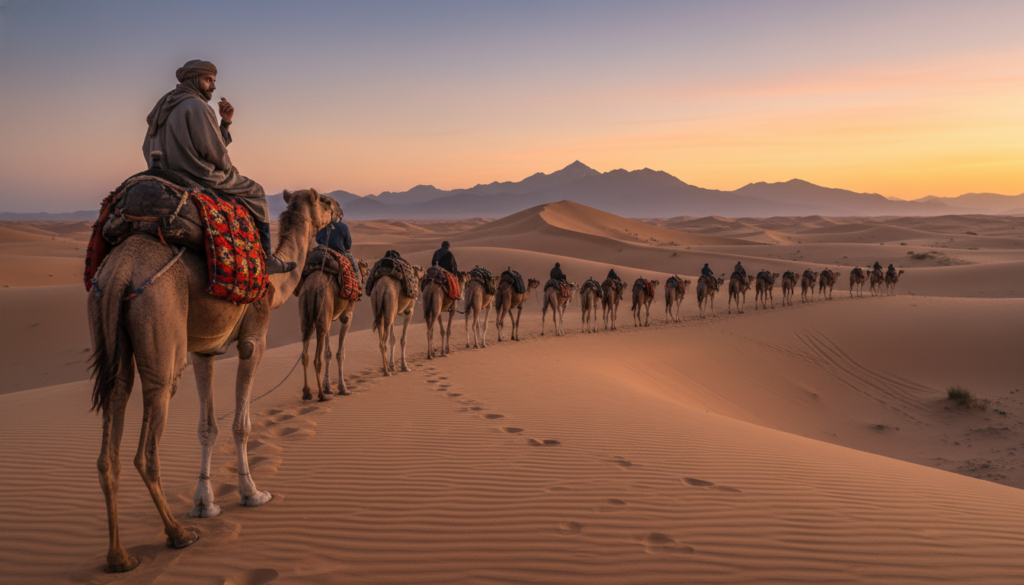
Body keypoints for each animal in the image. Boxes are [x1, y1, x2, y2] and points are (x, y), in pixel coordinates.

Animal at [88, 187, 337, 573]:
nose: (338, 208)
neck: (276, 283)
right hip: (161, 336)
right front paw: (252, 493)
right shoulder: (254, 340)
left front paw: (205, 502)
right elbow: (240, 424)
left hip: (107, 326)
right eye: (323, 200)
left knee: (110, 438)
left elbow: (207, 427)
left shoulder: (203, 350)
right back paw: (178, 534)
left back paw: (120, 558)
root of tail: (120, 270)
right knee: (147, 444)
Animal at [298, 254, 369, 401]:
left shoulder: (329, 318)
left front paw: (328, 386)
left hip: (307, 315)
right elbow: (340, 353)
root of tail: (313, 286)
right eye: (365, 269)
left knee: (305, 354)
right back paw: (321, 395)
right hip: (323, 308)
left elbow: (328, 353)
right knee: (316, 359)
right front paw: (343, 388)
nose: (365, 281)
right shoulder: (347, 316)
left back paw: (307, 392)